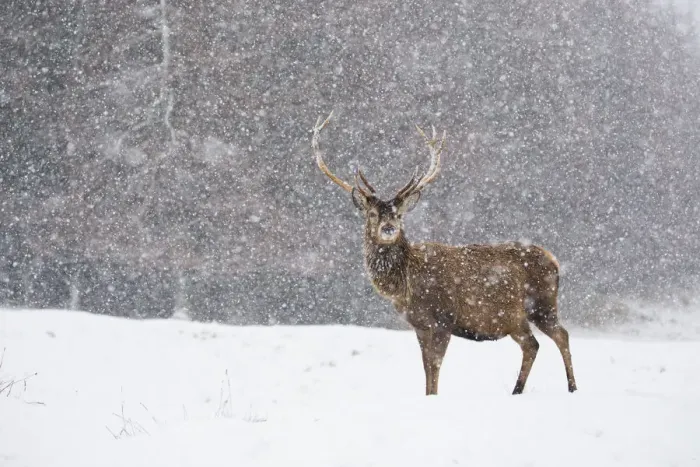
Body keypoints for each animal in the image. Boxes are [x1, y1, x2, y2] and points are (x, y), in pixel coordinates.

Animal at [311, 111, 578, 396]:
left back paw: (572, 387)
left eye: (399, 214)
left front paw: (434, 396)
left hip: (542, 303)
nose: (388, 227)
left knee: (561, 335)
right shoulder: (419, 325)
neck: (407, 284)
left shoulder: (444, 317)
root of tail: (554, 261)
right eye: (372, 214)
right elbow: (426, 366)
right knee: (532, 344)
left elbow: (436, 365)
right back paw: (517, 390)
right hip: (513, 318)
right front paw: (428, 395)